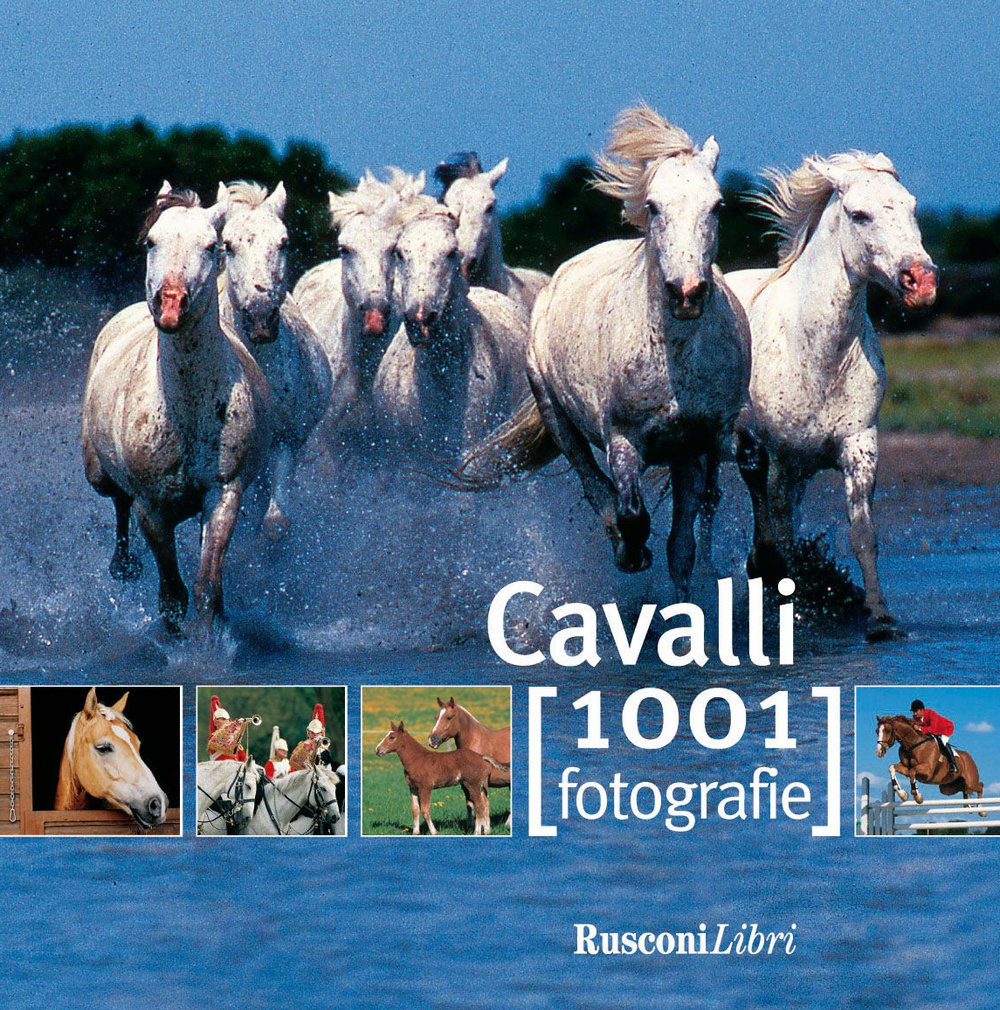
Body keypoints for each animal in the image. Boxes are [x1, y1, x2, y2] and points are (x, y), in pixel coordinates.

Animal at [82, 183, 272, 632]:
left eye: (211, 246)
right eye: (152, 241)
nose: (170, 305)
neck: (186, 410)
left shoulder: (223, 493)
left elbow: (206, 590)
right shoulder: (153, 508)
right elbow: (171, 596)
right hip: (97, 473)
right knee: (118, 501)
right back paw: (123, 566)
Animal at [454, 104, 750, 596]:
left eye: (717, 205)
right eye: (653, 206)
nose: (687, 293)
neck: (673, 358)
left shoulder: (698, 442)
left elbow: (684, 545)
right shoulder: (623, 440)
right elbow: (631, 512)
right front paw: (632, 552)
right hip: (557, 416)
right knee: (594, 484)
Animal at [725, 153, 938, 640]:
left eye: (912, 207)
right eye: (860, 215)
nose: (921, 282)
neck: (816, 356)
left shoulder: (858, 445)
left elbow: (863, 533)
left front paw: (880, 617)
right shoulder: (776, 457)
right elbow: (778, 534)